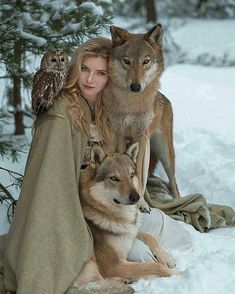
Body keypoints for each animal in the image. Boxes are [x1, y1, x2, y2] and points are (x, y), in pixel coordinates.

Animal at [103, 24, 180, 200]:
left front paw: (142, 201)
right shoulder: (119, 134)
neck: (131, 104)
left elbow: (138, 171)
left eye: (146, 61)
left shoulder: (141, 136)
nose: (136, 86)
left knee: (174, 184)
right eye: (127, 61)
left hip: (166, 154)